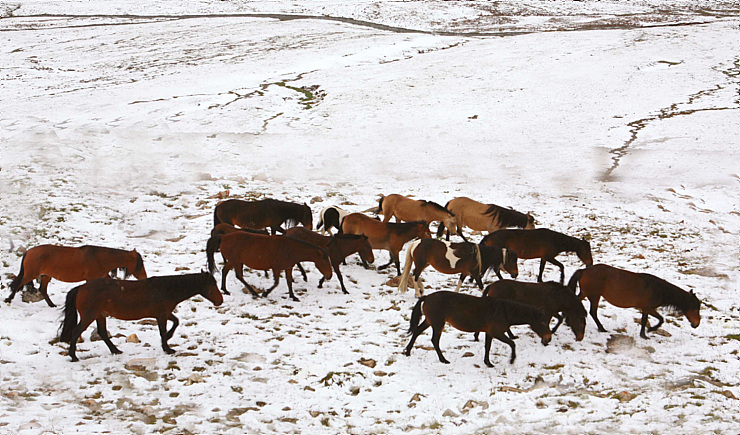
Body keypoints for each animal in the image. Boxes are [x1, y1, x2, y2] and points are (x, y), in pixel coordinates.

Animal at [6, 244, 147, 308]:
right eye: (140, 264)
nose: (144, 277)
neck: (99, 258)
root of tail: (29, 252)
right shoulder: (91, 278)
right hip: (31, 274)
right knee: (18, 284)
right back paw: (8, 299)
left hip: (45, 275)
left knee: (42, 290)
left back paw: (52, 305)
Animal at [58, 274, 223, 362]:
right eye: (212, 285)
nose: (220, 300)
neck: (166, 289)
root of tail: (81, 288)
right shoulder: (161, 315)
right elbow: (163, 331)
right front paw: (167, 348)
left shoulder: (165, 313)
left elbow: (176, 322)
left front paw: (169, 339)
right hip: (89, 315)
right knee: (76, 332)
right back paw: (74, 356)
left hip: (100, 315)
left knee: (102, 333)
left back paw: (116, 350)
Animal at [402, 292, 552, 368]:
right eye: (543, 322)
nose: (548, 338)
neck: (504, 311)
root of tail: (427, 297)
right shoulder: (497, 332)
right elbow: (512, 343)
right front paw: (511, 360)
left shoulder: (489, 333)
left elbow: (487, 347)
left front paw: (488, 363)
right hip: (438, 323)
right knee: (434, 340)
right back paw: (443, 360)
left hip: (430, 321)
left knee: (417, 332)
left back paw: (408, 352)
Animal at [568, 262, 704, 340]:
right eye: (695, 308)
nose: (696, 324)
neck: (658, 289)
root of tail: (584, 271)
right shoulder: (649, 308)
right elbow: (660, 319)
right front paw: (650, 330)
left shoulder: (645, 309)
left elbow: (644, 321)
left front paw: (643, 334)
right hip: (594, 296)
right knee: (593, 312)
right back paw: (602, 328)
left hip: (586, 293)